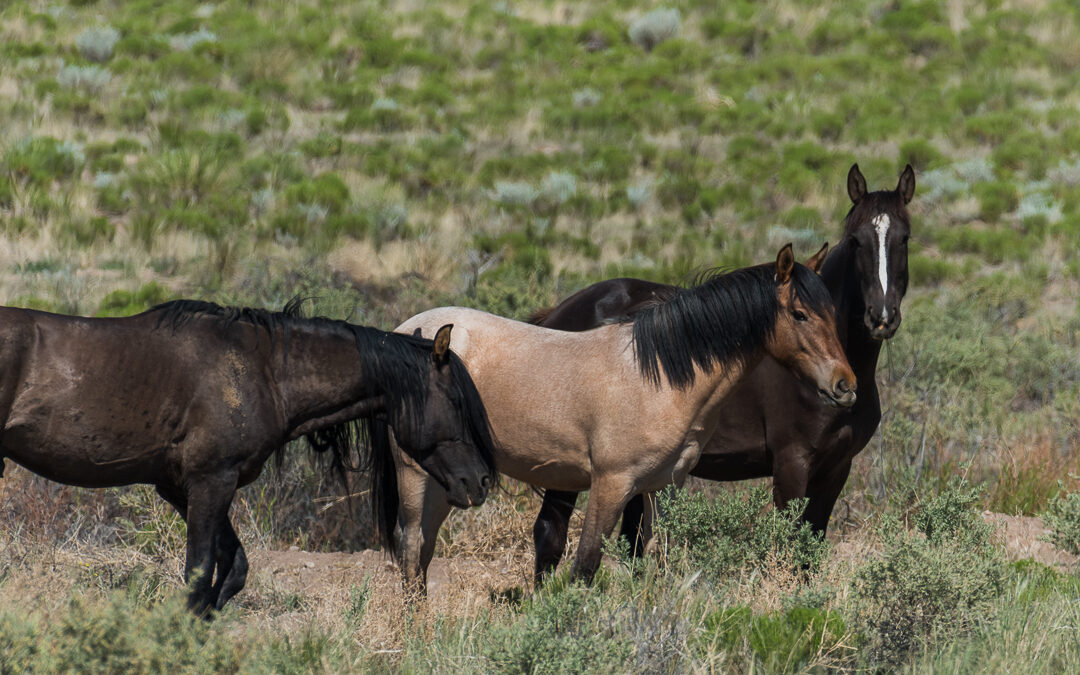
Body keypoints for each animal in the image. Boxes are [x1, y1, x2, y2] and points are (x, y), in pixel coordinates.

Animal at [0, 298, 494, 609]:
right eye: (456, 401)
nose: (481, 482)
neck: (264, 373)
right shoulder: (210, 483)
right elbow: (200, 573)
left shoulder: (185, 488)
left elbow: (233, 568)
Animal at [527, 163, 915, 578]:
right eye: (857, 240)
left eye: (905, 238)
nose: (882, 316)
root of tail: (559, 312)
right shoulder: (792, 464)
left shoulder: (837, 469)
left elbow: (809, 551)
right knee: (550, 533)